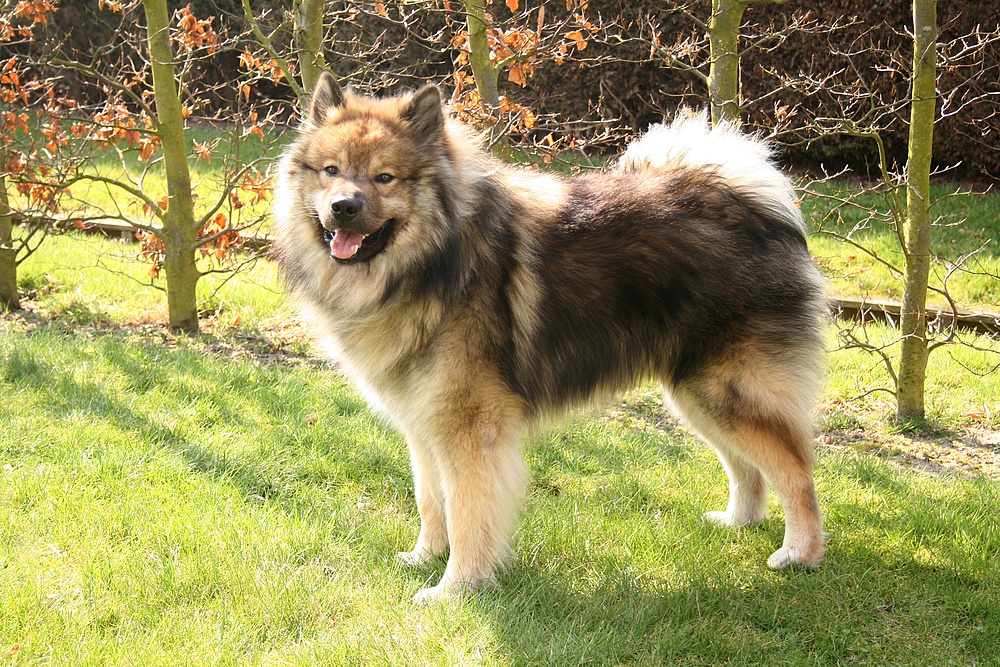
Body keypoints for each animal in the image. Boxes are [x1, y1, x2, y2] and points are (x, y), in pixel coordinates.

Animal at [272, 73, 828, 604]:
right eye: (331, 171)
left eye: (384, 177)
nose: (343, 207)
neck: (434, 263)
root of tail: (753, 207)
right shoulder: (424, 422)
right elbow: (432, 502)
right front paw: (424, 558)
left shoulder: (469, 430)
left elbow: (468, 514)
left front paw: (455, 588)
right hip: (695, 394)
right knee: (747, 468)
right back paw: (739, 522)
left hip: (726, 390)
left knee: (797, 470)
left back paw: (800, 553)